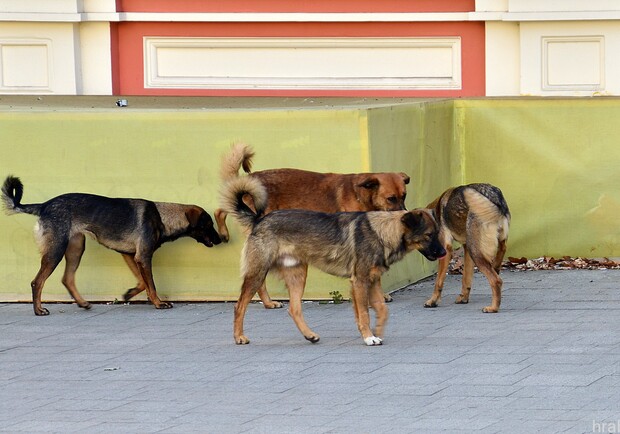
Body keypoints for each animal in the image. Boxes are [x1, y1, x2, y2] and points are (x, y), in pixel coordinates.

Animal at [0, 175, 220, 316]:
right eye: (209, 225)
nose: (221, 239)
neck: (162, 216)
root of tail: (44, 205)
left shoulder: (131, 255)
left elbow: (142, 282)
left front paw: (130, 293)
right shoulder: (143, 256)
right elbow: (151, 283)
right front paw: (158, 303)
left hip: (76, 248)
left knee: (67, 278)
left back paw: (82, 303)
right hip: (56, 250)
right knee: (37, 281)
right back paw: (38, 310)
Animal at [214, 144, 412, 306]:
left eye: (404, 196)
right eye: (391, 198)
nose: (405, 216)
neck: (362, 195)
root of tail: (252, 176)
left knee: (221, 208)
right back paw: (268, 301)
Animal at [220, 175, 444, 346]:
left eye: (437, 233)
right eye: (429, 235)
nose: (443, 253)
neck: (381, 232)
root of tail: (259, 219)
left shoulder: (372, 281)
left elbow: (382, 309)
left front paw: (377, 331)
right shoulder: (360, 282)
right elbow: (365, 313)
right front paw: (369, 337)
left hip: (298, 275)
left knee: (294, 309)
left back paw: (309, 335)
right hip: (257, 274)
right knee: (239, 306)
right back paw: (239, 337)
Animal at [424, 182, 512, 312]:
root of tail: (496, 200)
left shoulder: (446, 250)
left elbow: (438, 282)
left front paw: (433, 301)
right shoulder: (466, 249)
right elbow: (466, 278)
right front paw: (463, 298)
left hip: (475, 251)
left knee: (496, 281)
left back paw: (493, 308)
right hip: (484, 245)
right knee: (502, 250)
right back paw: (496, 267)